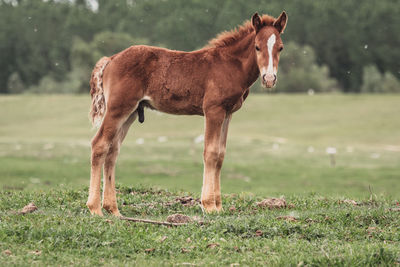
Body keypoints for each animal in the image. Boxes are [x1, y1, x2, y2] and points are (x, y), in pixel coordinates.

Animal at [87, 13, 288, 218]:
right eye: (257, 46)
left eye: (280, 47)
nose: (269, 79)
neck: (230, 65)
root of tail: (111, 59)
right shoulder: (213, 110)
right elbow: (211, 152)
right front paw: (209, 205)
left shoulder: (228, 113)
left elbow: (221, 154)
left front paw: (219, 206)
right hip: (118, 108)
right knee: (99, 144)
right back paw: (95, 208)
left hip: (131, 112)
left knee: (113, 150)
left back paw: (113, 209)